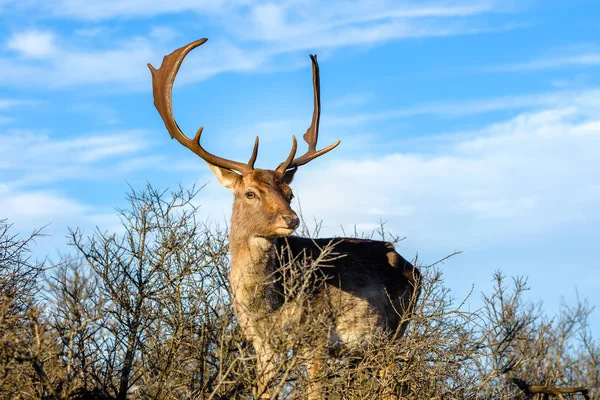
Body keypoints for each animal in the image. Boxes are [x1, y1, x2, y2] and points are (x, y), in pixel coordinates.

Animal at [149, 38, 422, 400]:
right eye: (251, 193)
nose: (291, 219)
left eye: (289, 193)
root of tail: (414, 268)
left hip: (391, 332)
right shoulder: (260, 343)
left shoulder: (316, 335)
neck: (267, 308)